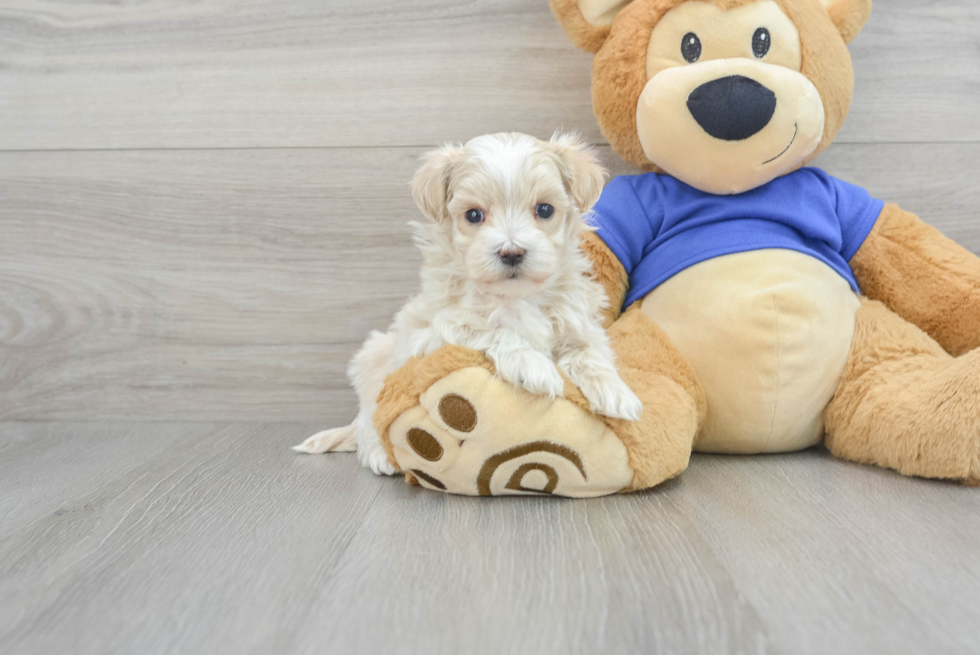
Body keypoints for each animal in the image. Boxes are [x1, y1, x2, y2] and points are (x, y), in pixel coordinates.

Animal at [290, 131, 644, 474]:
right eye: (473, 215)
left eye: (545, 209)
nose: (512, 252)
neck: (517, 296)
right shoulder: (435, 332)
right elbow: (490, 329)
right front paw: (533, 365)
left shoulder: (576, 320)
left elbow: (589, 353)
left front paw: (616, 392)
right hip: (375, 358)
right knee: (369, 419)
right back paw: (378, 454)